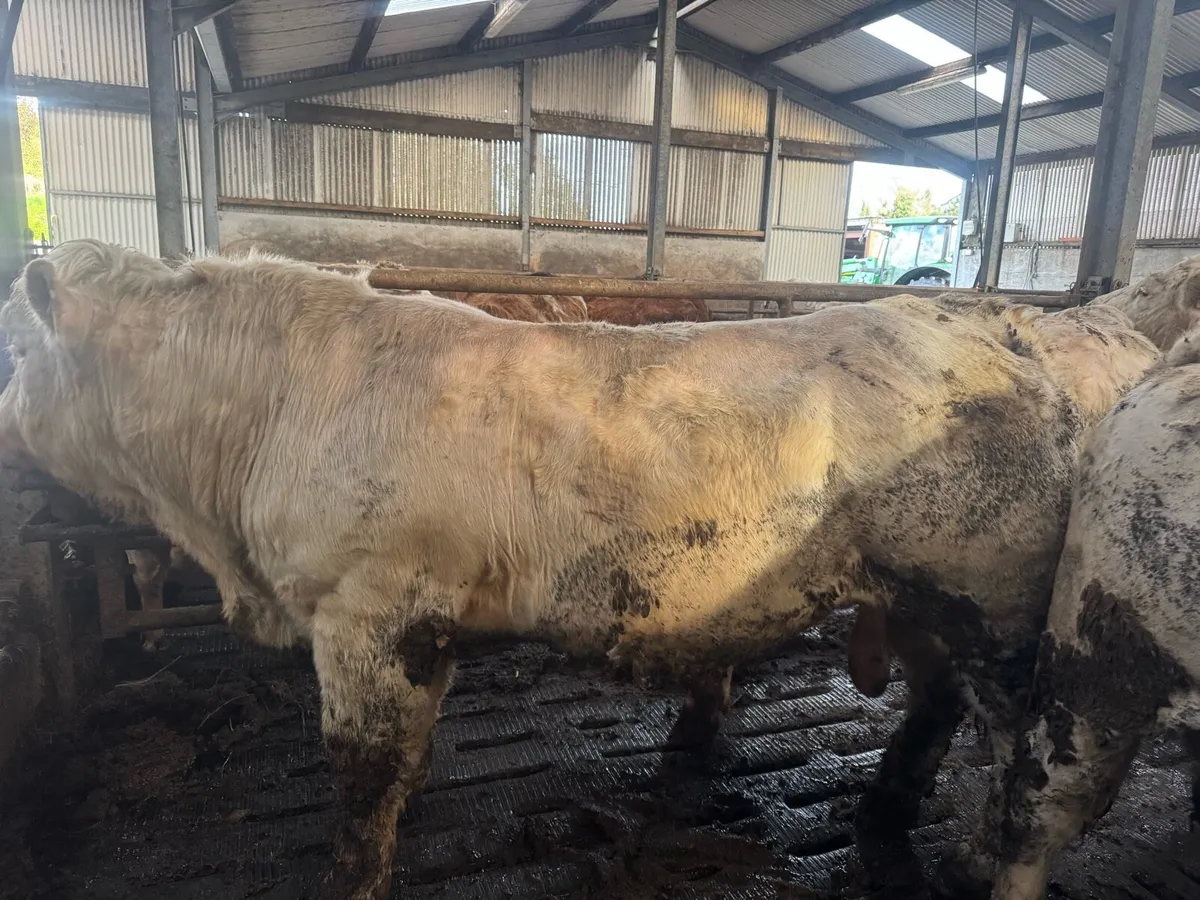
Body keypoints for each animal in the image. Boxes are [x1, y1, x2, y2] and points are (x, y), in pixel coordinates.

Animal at [0, 241, 1158, 900]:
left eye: (12, 350)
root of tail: (996, 325)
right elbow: (401, 765)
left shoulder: (368, 609)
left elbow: (361, 777)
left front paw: (352, 873)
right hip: (923, 600)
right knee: (932, 706)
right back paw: (882, 816)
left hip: (997, 607)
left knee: (1026, 766)